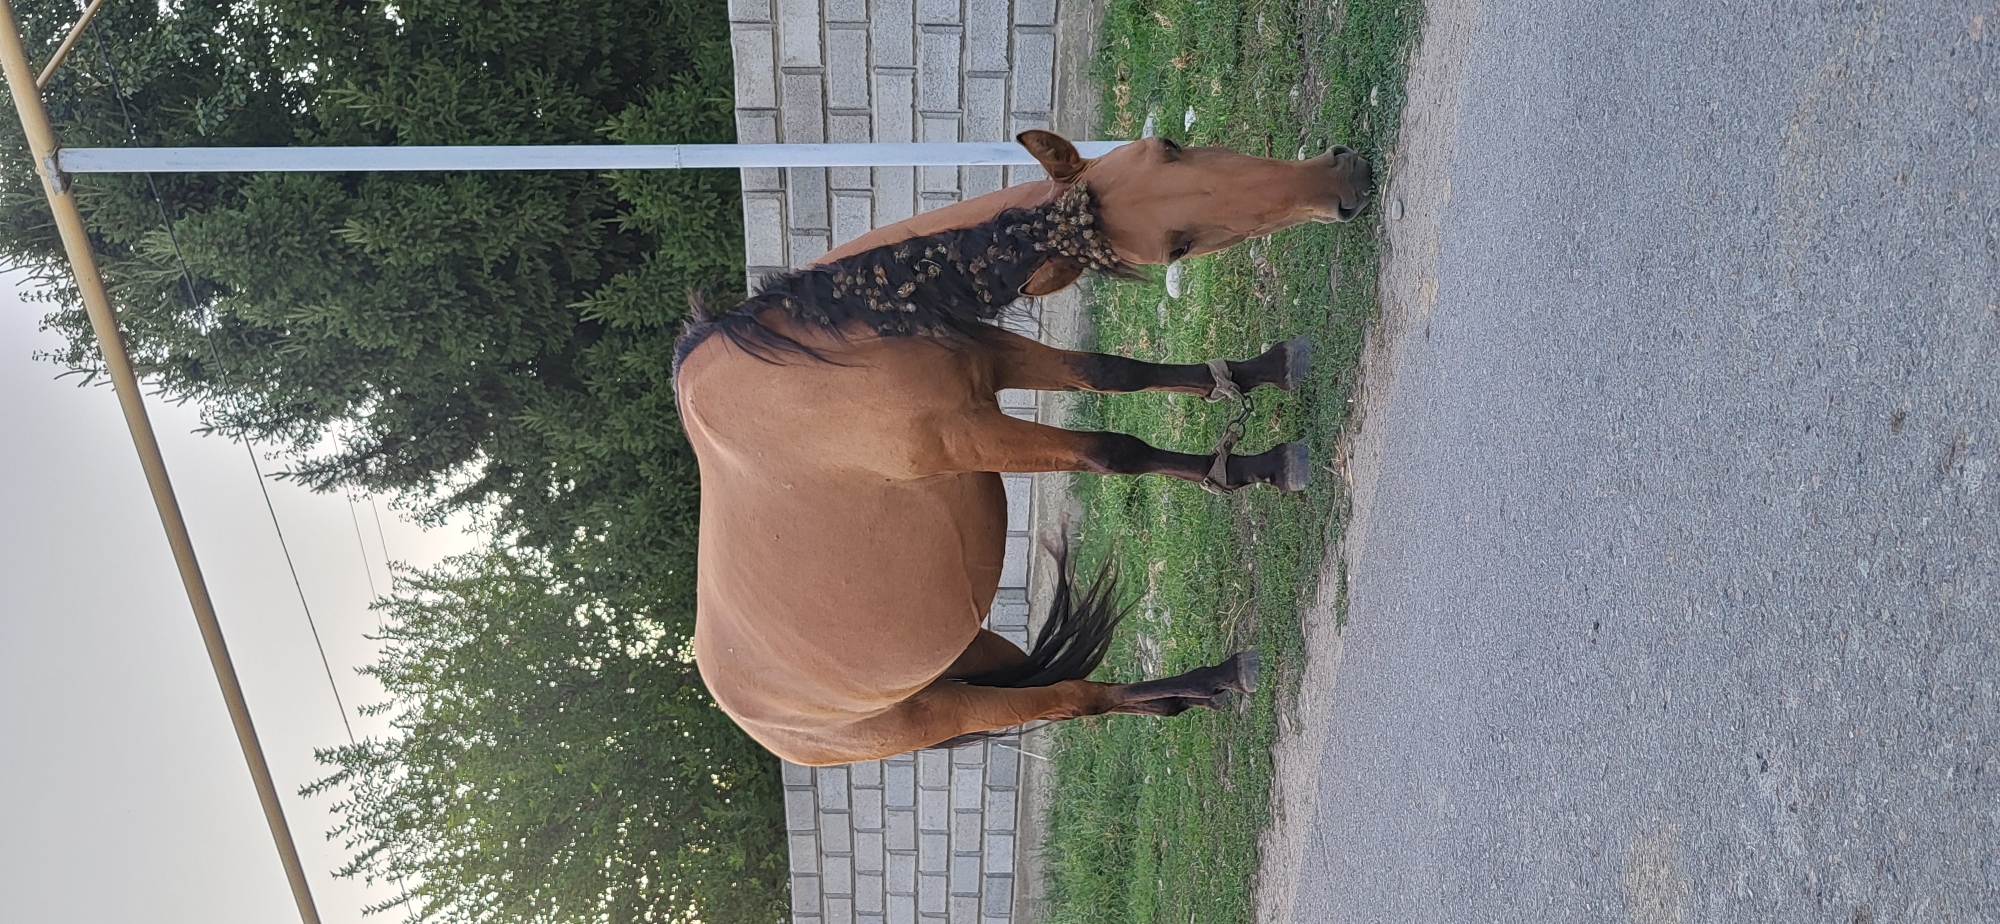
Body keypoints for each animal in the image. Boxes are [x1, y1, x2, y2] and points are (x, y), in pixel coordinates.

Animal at [674, 130, 1371, 765]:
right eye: (1178, 246)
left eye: (1170, 146)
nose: (1342, 181)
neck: (845, 336)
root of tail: (764, 723)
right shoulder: (971, 436)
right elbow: (1114, 451)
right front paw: (1264, 466)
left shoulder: (997, 356)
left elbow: (1112, 371)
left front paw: (1267, 370)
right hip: (956, 708)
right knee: (1074, 699)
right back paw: (1218, 676)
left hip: (977, 658)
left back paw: (1203, 686)